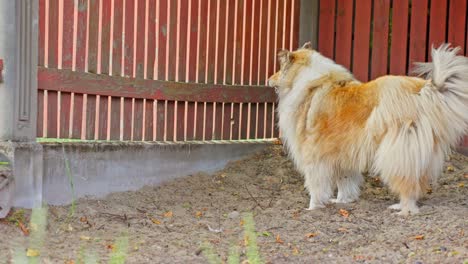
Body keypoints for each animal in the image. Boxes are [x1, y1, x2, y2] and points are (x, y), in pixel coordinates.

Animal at [266, 41, 468, 214]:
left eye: (280, 68)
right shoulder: (342, 154)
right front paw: (342, 201)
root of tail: (425, 89)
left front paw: (313, 207)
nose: (268, 79)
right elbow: (344, 182)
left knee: (407, 184)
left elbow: (316, 185)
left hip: (396, 152)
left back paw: (403, 210)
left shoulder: (314, 155)